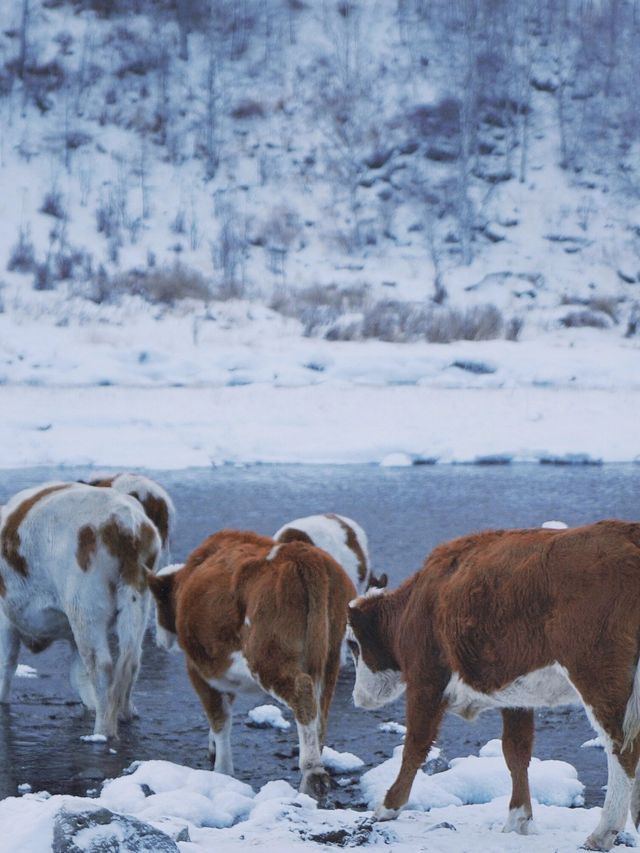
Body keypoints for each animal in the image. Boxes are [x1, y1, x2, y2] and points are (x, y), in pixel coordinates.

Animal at [0, 482, 160, 736]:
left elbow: (6, 664)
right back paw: (125, 714)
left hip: (84, 610)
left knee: (101, 666)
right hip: (137, 604)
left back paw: (102, 731)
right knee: (131, 660)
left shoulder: (5, 620)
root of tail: (126, 522)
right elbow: (78, 675)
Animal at [148, 524, 358, 800]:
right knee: (319, 708)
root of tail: (301, 554)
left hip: (266, 658)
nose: (160, 641)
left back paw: (312, 772)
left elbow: (219, 718)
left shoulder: (199, 669)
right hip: (329, 656)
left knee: (302, 691)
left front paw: (222, 770)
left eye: (158, 603)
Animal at [348, 524, 640, 848]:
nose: (357, 697)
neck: (420, 599)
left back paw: (602, 834)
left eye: (352, 643)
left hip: (598, 675)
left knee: (622, 748)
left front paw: (388, 806)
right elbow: (516, 752)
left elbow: (415, 744)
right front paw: (518, 821)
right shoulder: (517, 697)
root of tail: (625, 532)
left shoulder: (426, 679)